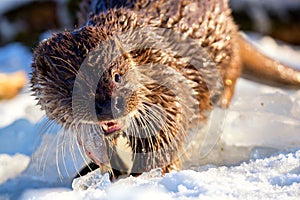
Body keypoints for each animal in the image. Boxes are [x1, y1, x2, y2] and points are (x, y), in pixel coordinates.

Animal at [30, 0, 300, 178]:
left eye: (117, 76)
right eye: (73, 87)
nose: (108, 106)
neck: (144, 56)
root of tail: (232, 25)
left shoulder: (169, 83)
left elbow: (167, 134)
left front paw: (148, 174)